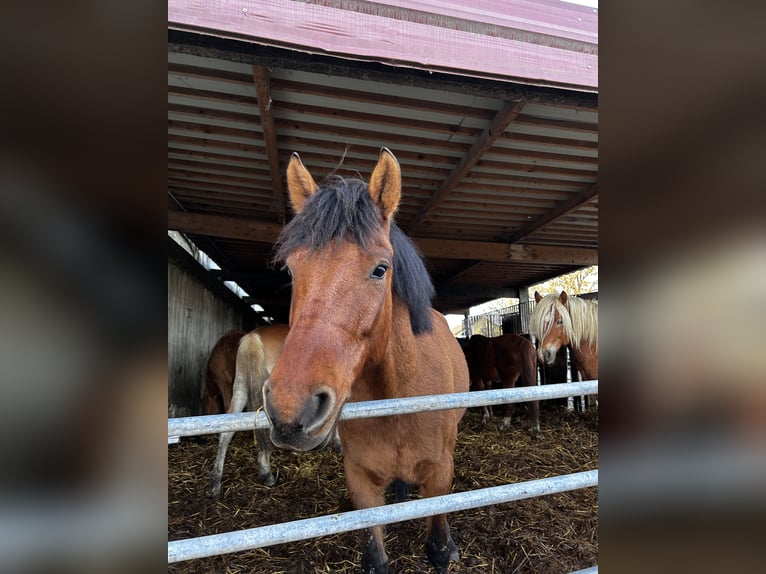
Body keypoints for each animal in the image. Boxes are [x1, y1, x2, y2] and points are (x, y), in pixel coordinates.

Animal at [262, 150, 468, 574]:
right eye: (291, 269)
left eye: (380, 269)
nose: (290, 409)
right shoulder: (361, 482)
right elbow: (376, 556)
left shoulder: (440, 476)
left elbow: (439, 548)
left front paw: (449, 549)